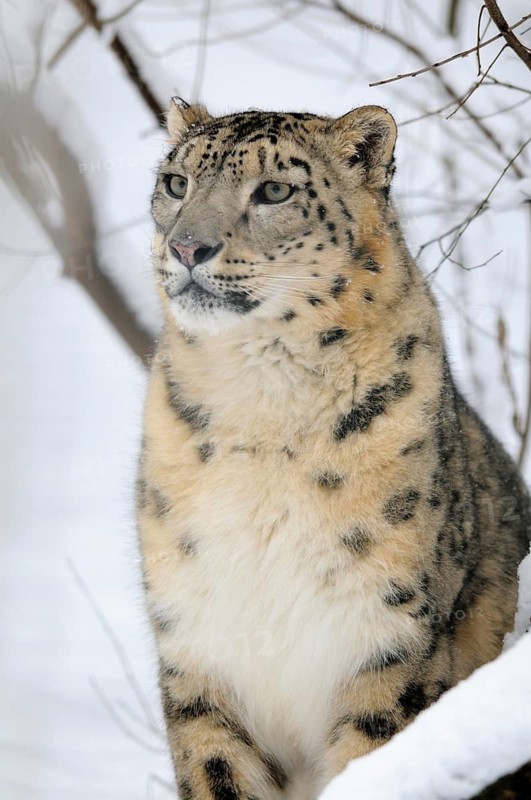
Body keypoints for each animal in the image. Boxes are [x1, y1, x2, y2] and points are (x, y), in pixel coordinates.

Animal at [137, 98, 531, 800]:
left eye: (275, 191)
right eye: (176, 183)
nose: (186, 246)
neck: (260, 406)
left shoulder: (388, 639)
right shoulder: (197, 648)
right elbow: (218, 773)